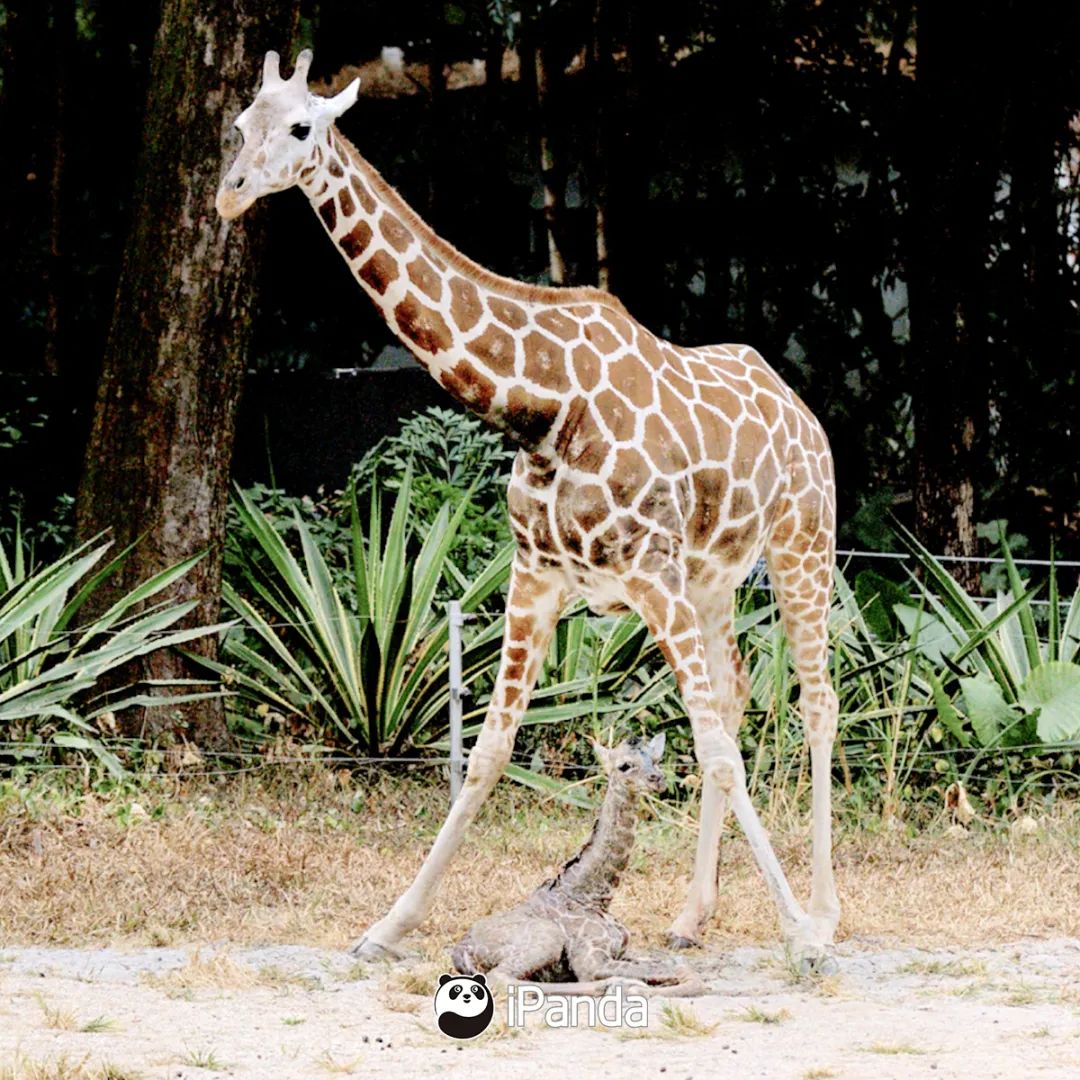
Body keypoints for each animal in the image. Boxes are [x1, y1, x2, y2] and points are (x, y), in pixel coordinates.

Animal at [451, 734, 704, 993]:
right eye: (624, 766)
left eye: (656, 760)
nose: (658, 779)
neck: (594, 896)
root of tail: (461, 950)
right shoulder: (590, 960)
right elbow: (685, 974)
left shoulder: (623, 950)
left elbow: (679, 967)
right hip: (547, 938)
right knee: (500, 978)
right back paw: (619, 984)